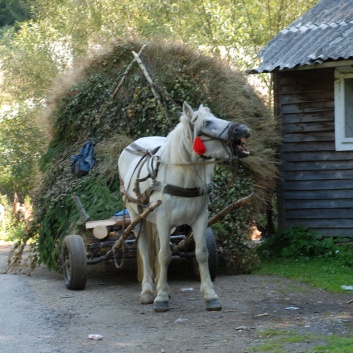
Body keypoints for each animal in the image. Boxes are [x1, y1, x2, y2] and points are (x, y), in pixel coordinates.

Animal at [119, 101, 250, 310]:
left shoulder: (200, 219)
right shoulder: (164, 219)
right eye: (206, 122)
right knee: (145, 249)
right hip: (135, 216)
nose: (243, 130)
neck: (182, 176)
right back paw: (148, 291)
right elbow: (165, 255)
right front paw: (161, 298)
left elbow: (201, 253)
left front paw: (210, 295)